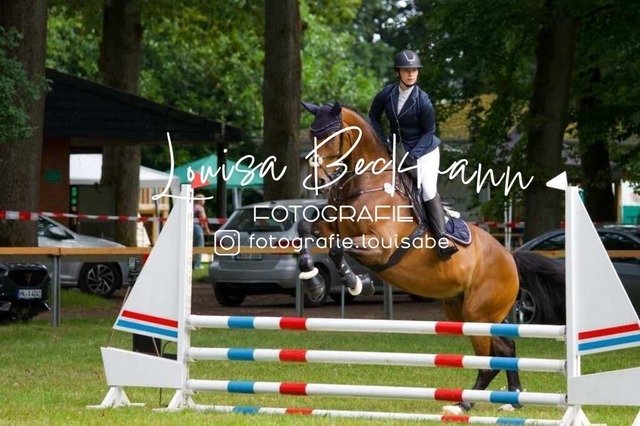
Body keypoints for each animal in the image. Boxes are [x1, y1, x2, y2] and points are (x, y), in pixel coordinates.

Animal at [297, 101, 565, 415]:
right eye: (312, 134)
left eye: (332, 135)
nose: (318, 180)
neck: (365, 183)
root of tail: (510, 256)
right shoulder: (327, 228)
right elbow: (306, 230)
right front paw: (313, 282)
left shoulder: (381, 246)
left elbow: (338, 249)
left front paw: (357, 282)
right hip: (463, 312)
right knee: (505, 348)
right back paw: (512, 400)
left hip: (478, 313)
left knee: (490, 362)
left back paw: (462, 405)